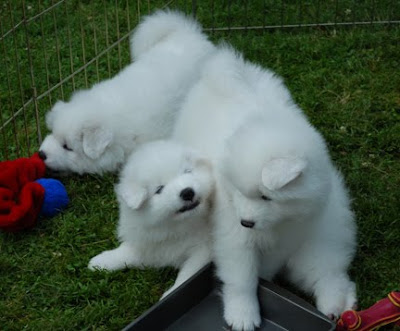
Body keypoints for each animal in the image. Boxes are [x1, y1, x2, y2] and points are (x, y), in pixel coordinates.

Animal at [87, 140, 212, 298]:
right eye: (159, 189)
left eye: (187, 172)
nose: (187, 192)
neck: (176, 226)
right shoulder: (148, 243)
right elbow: (128, 252)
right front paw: (101, 262)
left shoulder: (203, 251)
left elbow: (187, 274)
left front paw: (170, 294)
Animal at [174, 48, 356, 330]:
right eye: (238, 192)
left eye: (266, 197)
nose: (246, 222)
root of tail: (222, 69)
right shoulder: (234, 235)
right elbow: (243, 278)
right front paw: (243, 314)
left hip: (324, 232)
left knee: (327, 269)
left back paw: (336, 302)